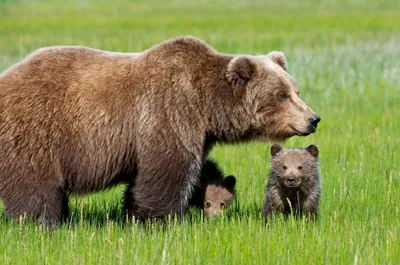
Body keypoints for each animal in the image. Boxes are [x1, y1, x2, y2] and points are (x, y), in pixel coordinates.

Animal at [0, 36, 318, 223]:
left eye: (296, 90)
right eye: (282, 95)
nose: (313, 118)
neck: (206, 105)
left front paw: (133, 213)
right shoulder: (168, 111)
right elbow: (167, 170)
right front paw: (159, 219)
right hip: (37, 130)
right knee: (36, 185)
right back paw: (42, 221)